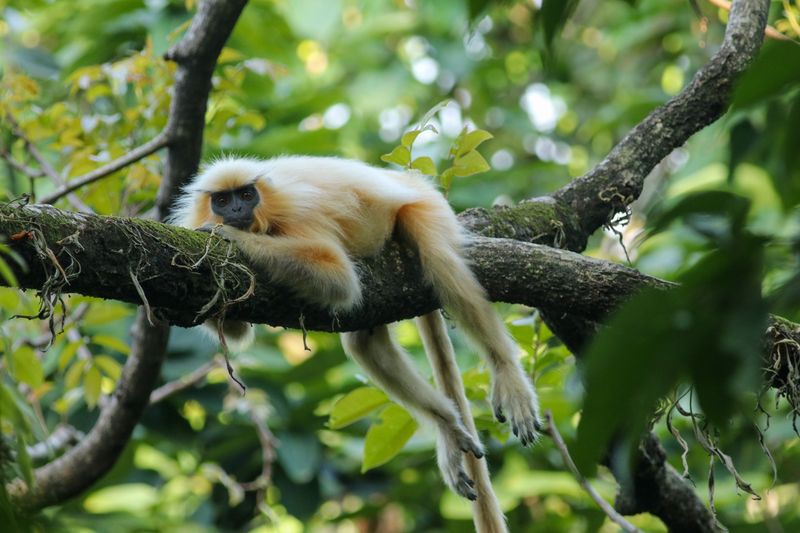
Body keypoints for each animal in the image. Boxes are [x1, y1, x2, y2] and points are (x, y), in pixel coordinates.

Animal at [171, 156, 540, 528]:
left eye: (247, 195)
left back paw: (507, 373)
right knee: (365, 343)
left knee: (441, 261)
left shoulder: (298, 216)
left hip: (426, 207)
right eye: (222, 200)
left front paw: (232, 235)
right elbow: (236, 330)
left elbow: (339, 280)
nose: (234, 209)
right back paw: (447, 422)